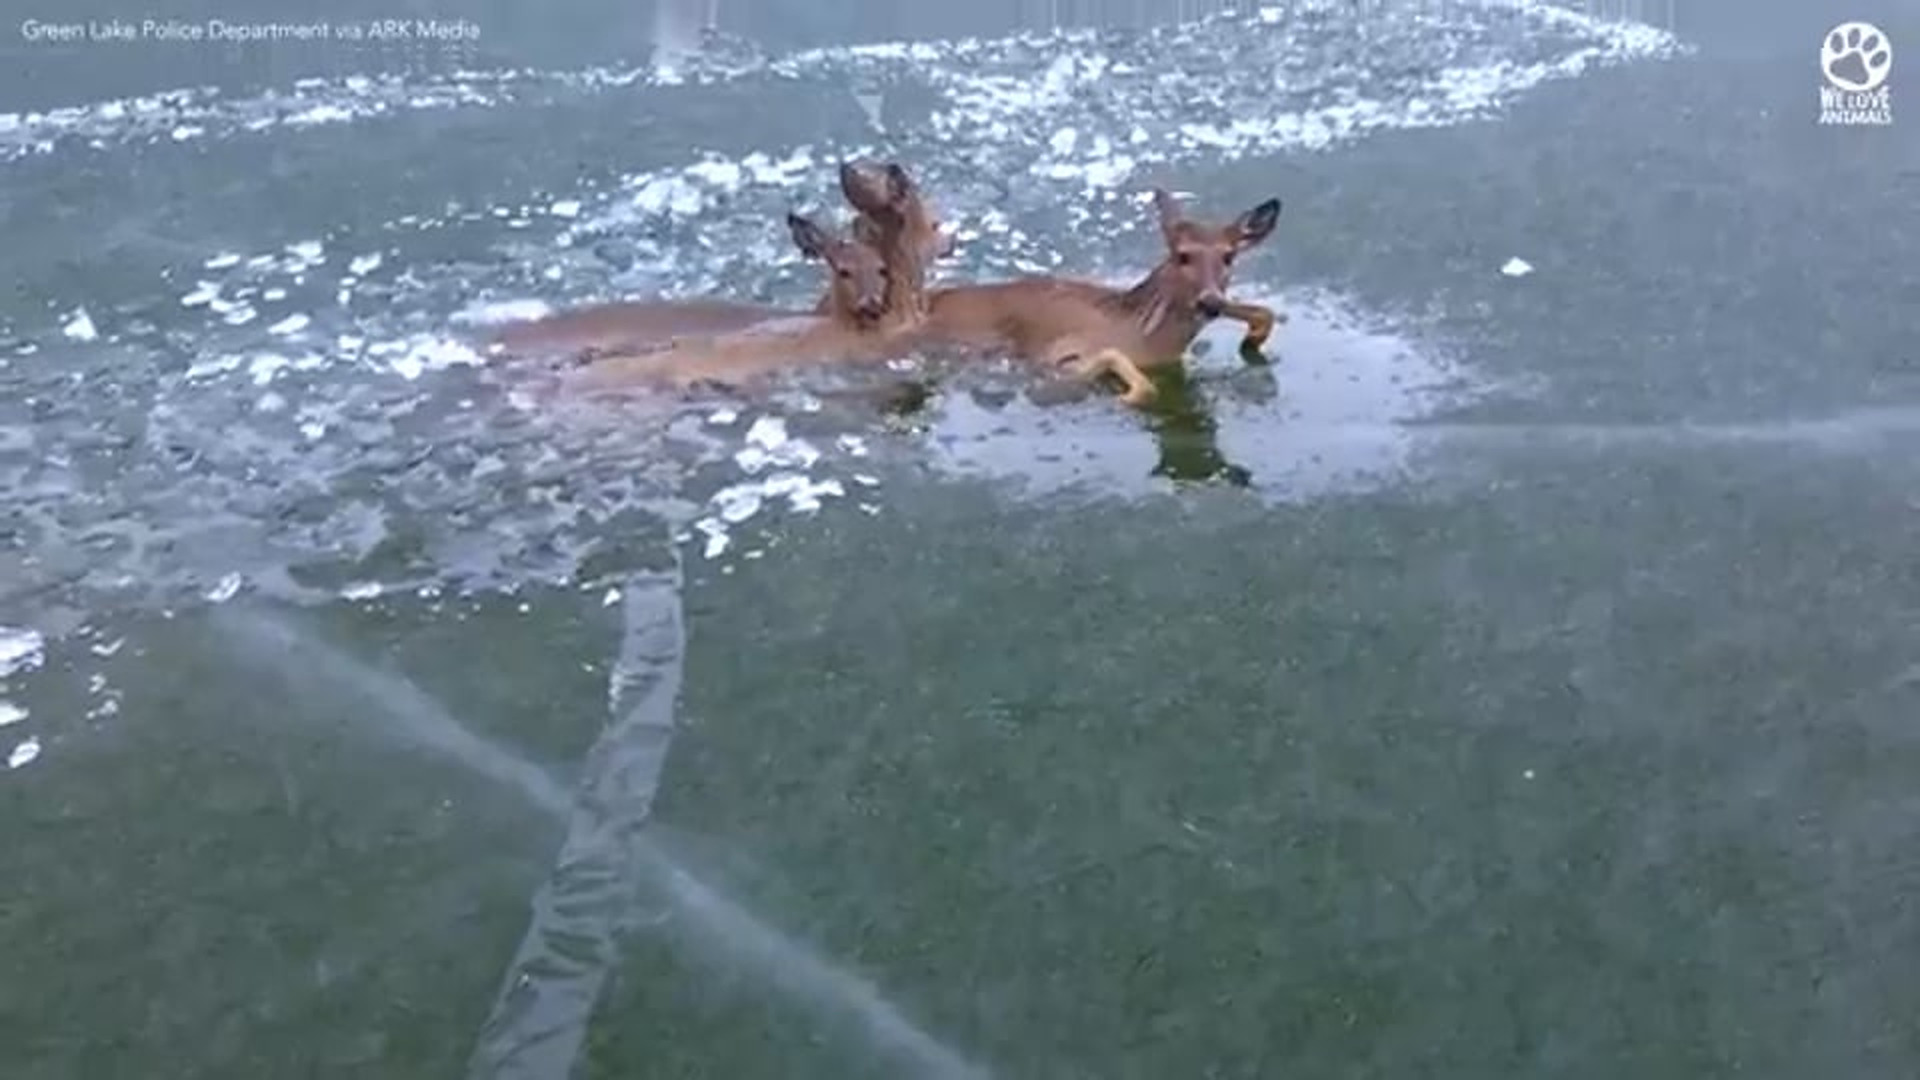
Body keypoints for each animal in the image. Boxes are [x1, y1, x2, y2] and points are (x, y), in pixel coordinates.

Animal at [907, 188, 1283, 408]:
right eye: (1182, 255)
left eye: (1229, 257)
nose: (1210, 302)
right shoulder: (1055, 356)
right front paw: (1129, 394)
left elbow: (1265, 312)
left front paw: (1252, 337)